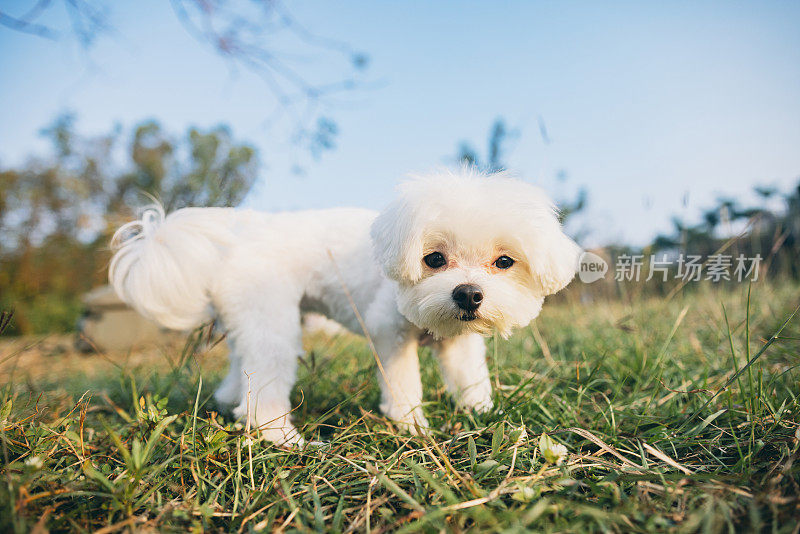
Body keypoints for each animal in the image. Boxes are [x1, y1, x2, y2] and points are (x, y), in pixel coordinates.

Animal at [108, 170, 580, 446]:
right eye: (433, 259)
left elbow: (470, 380)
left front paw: (483, 413)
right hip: (273, 324)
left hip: (250, 320)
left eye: (504, 262)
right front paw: (413, 428)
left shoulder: (458, 345)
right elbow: (403, 387)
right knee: (262, 396)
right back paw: (286, 441)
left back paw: (229, 401)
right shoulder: (389, 333)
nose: (467, 294)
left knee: (241, 371)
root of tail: (238, 237)